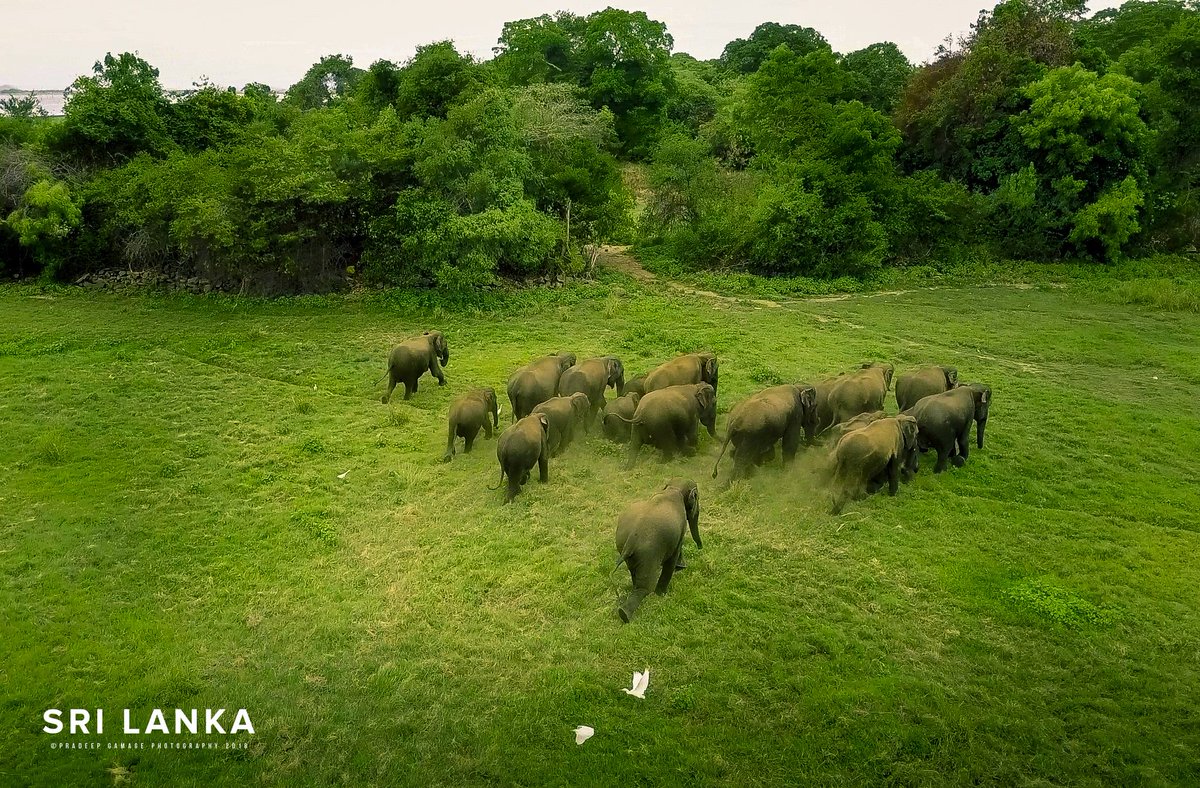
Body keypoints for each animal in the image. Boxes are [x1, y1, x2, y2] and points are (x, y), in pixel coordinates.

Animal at [613, 478, 701, 623]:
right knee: (645, 587)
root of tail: (631, 539)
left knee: (635, 575)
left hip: (626, 548)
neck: (673, 488)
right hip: (648, 554)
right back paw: (624, 615)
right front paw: (663, 594)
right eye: (697, 497)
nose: (700, 547)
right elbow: (675, 551)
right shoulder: (680, 526)